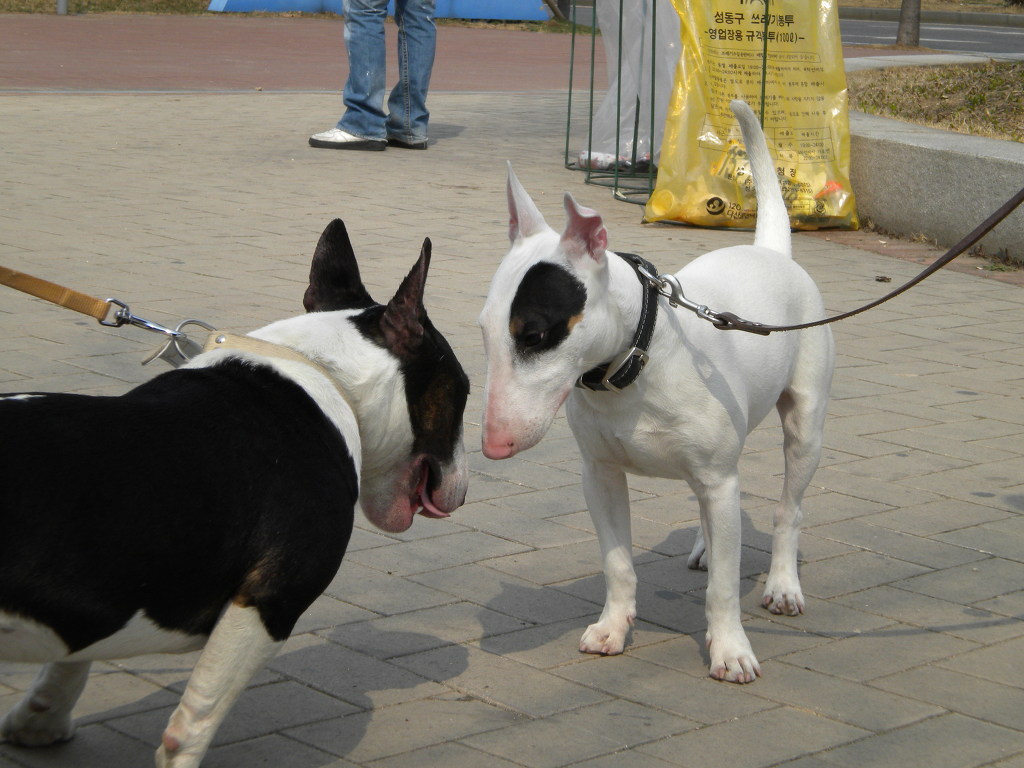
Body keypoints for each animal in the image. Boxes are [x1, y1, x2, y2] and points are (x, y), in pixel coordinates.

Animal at [0, 219, 471, 765]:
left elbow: (74, 657)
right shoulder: (268, 603)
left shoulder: (113, 584)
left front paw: (41, 720)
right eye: (463, 391)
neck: (321, 371)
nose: (464, 490)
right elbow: (196, 718)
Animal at [477, 102, 831, 684]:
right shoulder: (599, 475)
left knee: (788, 510)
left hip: (805, 426)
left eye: (534, 335)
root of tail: (770, 251)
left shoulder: (719, 476)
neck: (629, 368)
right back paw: (708, 547)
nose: (493, 445)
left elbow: (723, 588)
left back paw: (783, 585)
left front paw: (730, 650)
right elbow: (617, 563)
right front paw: (612, 629)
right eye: (484, 331)